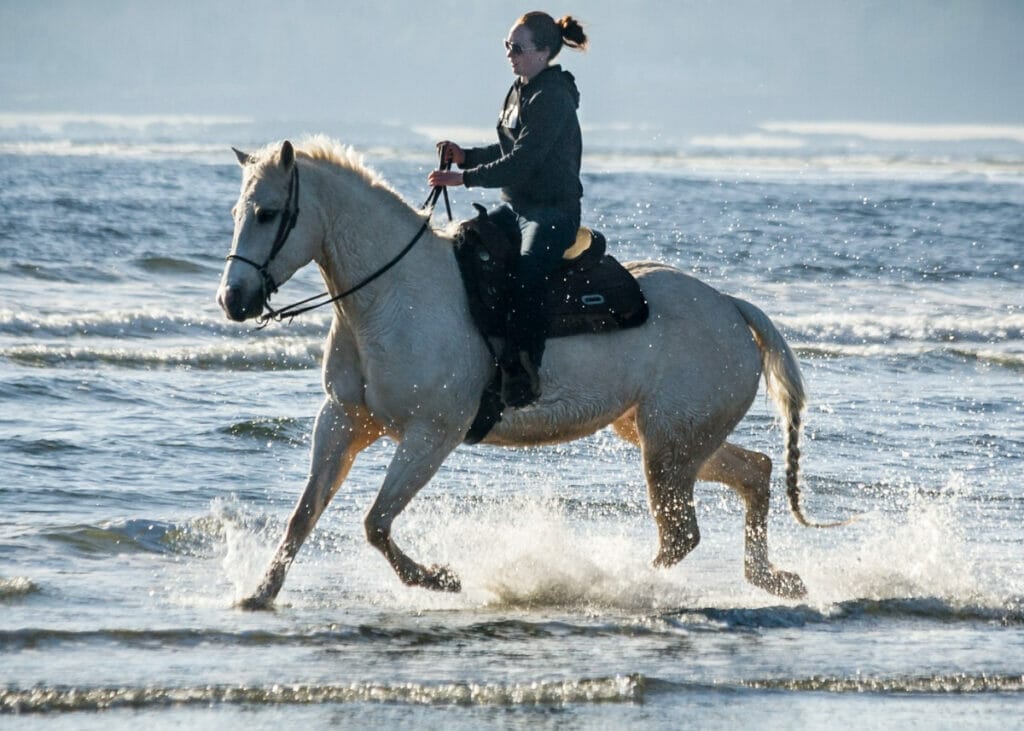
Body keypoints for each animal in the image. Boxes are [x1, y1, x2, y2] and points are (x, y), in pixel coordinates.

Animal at [220, 135, 819, 602]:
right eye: (236, 214)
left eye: (268, 213)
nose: (233, 299)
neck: (393, 297)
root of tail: (730, 306)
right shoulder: (344, 421)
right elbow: (305, 515)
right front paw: (258, 594)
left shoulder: (431, 434)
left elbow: (376, 522)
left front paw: (438, 578)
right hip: (670, 438)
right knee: (755, 473)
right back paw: (775, 579)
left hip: (669, 449)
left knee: (681, 536)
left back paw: (608, 583)